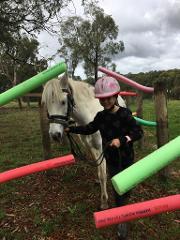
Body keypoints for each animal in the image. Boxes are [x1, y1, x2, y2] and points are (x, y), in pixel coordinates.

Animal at [41, 74, 126, 209]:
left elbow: (102, 174)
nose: (54, 135)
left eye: (63, 102)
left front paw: (104, 202)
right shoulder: (89, 146)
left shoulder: (101, 147)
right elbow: (98, 166)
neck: (89, 117)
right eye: (46, 104)